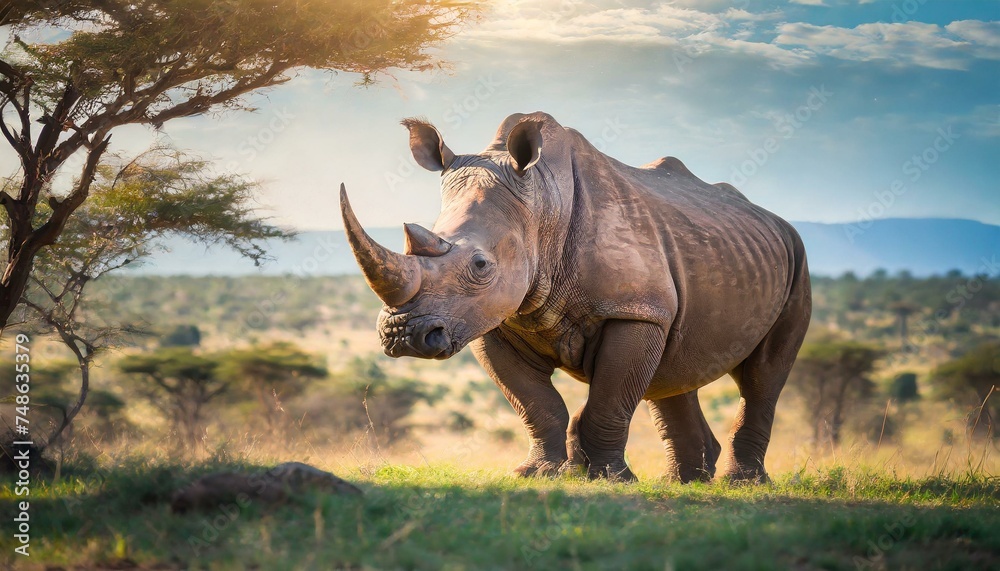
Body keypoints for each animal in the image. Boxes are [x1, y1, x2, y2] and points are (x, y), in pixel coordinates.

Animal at [340, 112, 811, 483]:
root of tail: (774, 220)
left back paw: (740, 483)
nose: (402, 335)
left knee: (762, 376)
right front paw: (538, 473)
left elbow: (610, 398)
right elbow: (535, 402)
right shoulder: (490, 320)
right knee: (674, 369)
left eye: (481, 265)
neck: (541, 207)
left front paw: (610, 479)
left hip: (796, 259)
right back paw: (685, 482)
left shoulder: (633, 311)